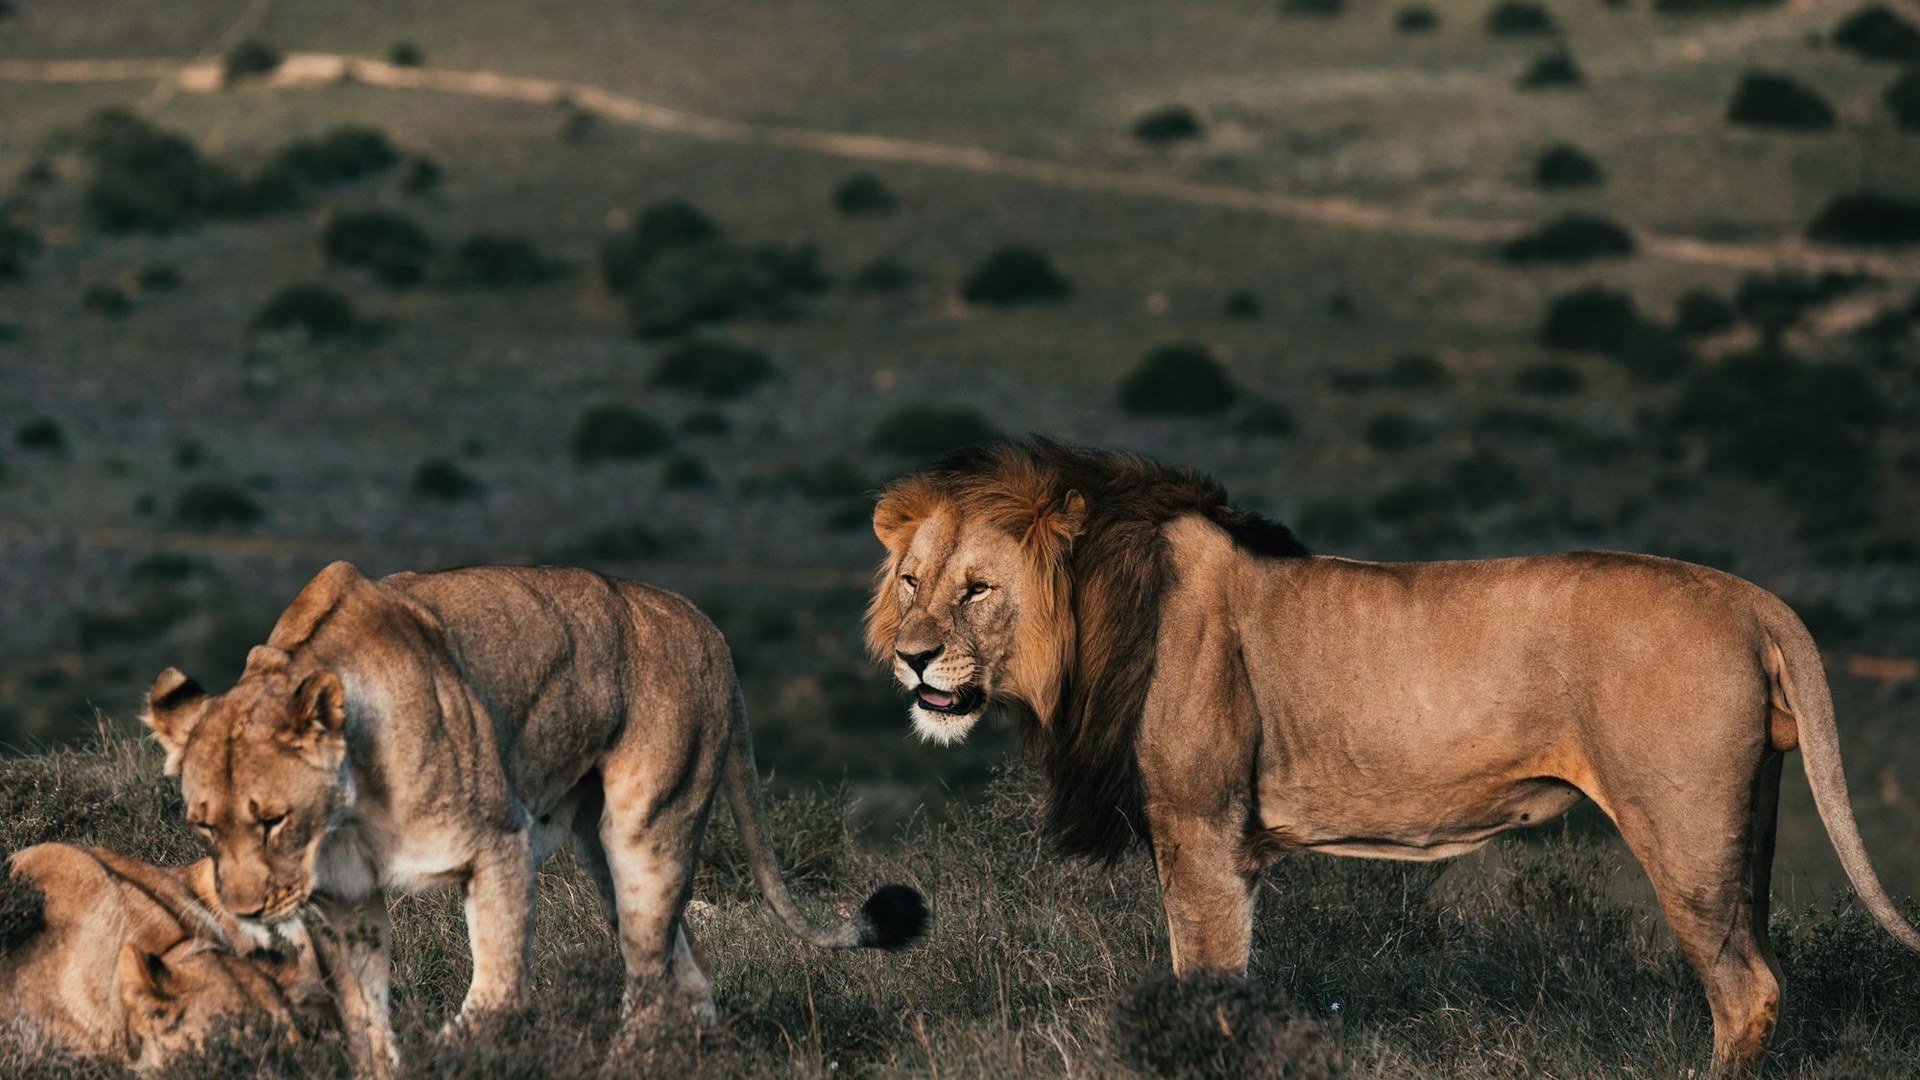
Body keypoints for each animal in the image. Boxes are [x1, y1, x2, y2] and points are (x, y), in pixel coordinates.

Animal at [142, 561, 926, 1076]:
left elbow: (497, 991)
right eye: (204, 827)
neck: (347, 807)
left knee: (647, 980)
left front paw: (453, 1053)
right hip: (601, 854)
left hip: (646, 830)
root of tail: (706, 626)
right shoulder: (345, 902)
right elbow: (366, 1021)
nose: (245, 909)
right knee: (687, 972)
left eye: (272, 820)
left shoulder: (500, 845)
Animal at [865, 438, 1920, 1079]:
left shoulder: (1203, 835)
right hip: (1751, 825)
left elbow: (1206, 985)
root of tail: (1751, 597)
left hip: (1684, 831)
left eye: (976, 590)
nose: (913, 657)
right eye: (911, 581)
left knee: (1746, 990)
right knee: (1765, 970)